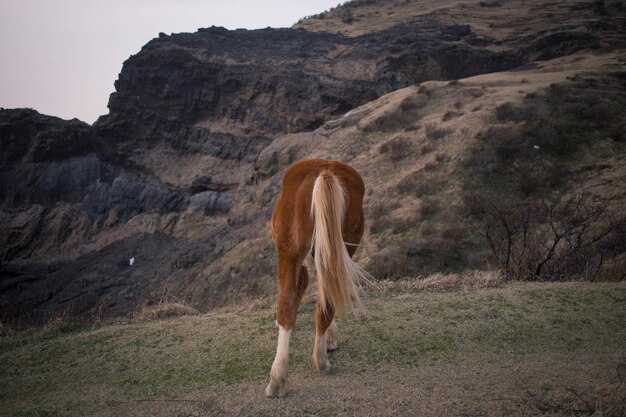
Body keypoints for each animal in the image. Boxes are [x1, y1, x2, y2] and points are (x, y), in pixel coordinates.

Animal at [264, 158, 370, 396]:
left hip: (289, 251)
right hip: (341, 243)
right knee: (327, 300)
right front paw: (330, 338)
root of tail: (324, 170)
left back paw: (282, 376)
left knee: (288, 302)